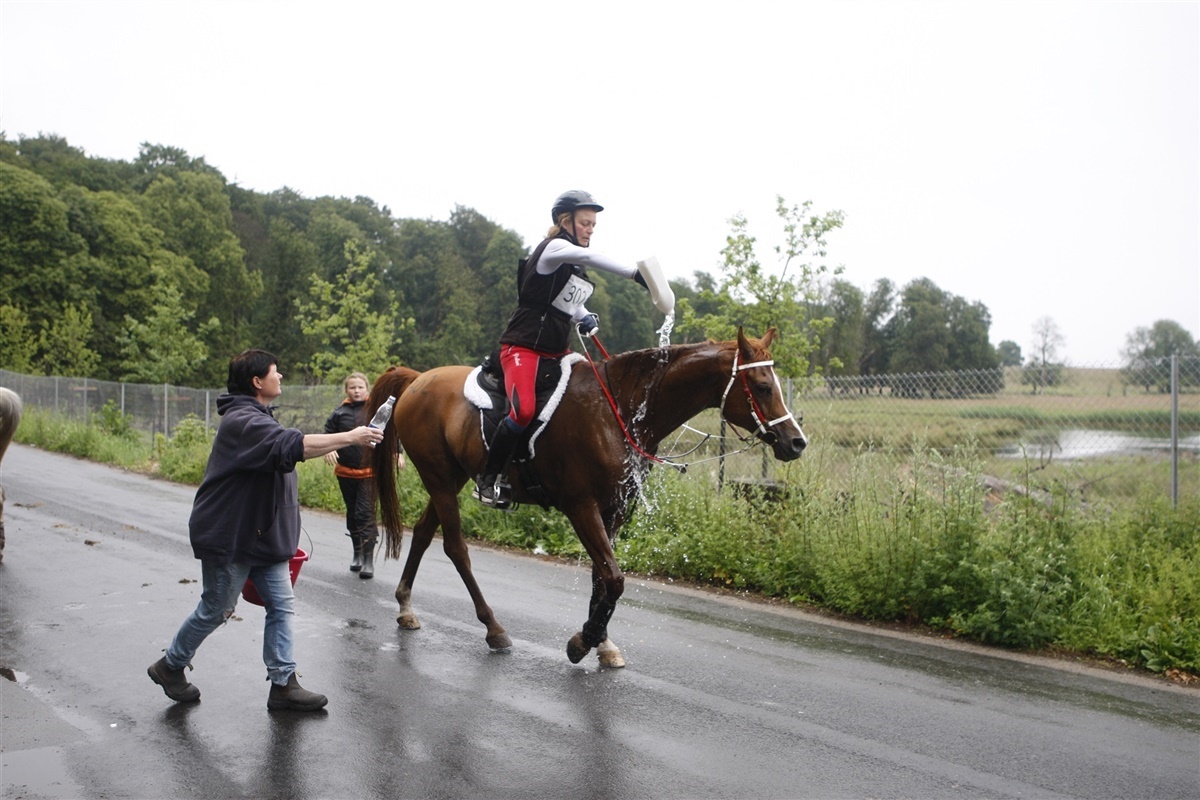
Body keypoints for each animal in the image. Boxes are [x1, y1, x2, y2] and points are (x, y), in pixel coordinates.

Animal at [368, 328, 806, 667]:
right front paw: (584, 641)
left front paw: (603, 643)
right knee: (456, 548)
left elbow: (603, 577)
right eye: (763, 387)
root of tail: (418, 379)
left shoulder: (615, 510)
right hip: (441, 480)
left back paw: (406, 606)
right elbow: (613, 578)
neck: (620, 412)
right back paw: (493, 627)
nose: (796, 442)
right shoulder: (582, 508)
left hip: (451, 478)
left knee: (425, 532)